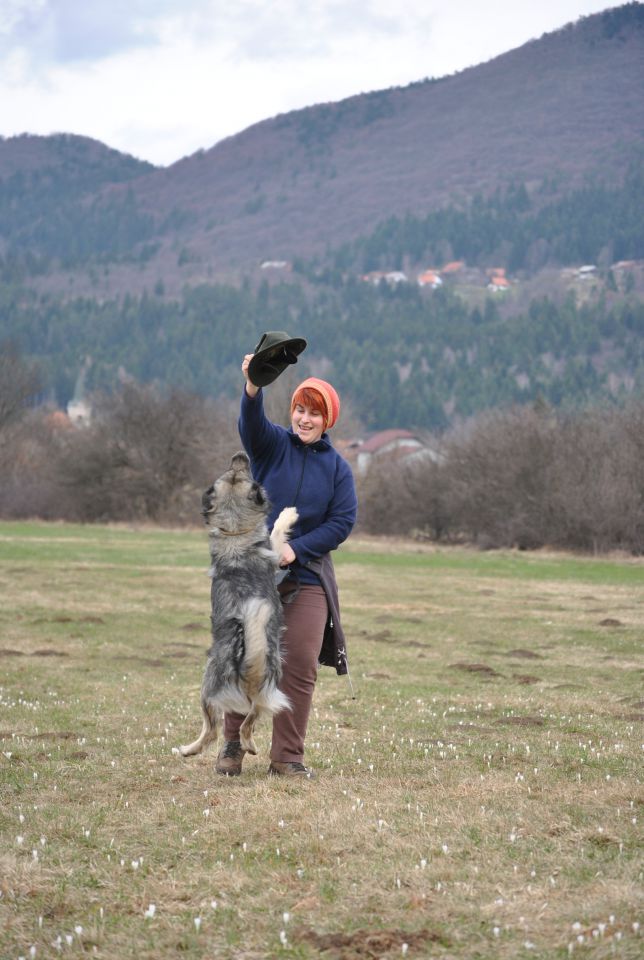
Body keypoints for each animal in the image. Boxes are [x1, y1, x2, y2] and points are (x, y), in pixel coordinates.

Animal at [177, 454, 296, 760]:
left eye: (235, 472)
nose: (240, 456)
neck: (234, 532)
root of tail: (244, 664)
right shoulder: (275, 553)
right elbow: (276, 529)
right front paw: (289, 513)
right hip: (210, 688)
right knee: (220, 728)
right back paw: (191, 749)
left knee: (244, 719)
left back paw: (242, 746)